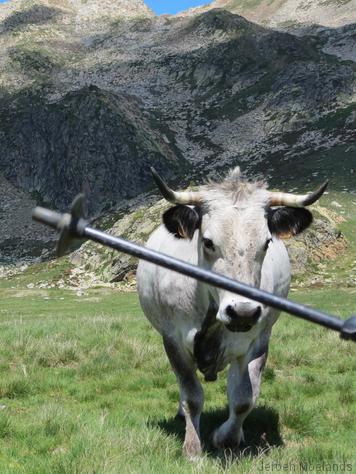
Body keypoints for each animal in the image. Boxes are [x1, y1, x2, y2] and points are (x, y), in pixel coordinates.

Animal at [136, 168, 328, 460]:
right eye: (208, 242)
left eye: (266, 242)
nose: (243, 312)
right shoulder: (173, 340)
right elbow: (191, 395)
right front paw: (192, 448)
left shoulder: (258, 340)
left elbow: (243, 398)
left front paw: (226, 438)